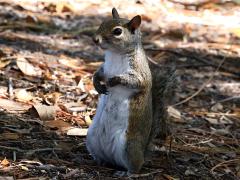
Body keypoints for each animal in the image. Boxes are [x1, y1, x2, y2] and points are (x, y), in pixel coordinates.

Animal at [86, 7, 174, 174]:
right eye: (102, 23)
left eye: (117, 31)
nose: (95, 39)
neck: (115, 54)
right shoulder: (105, 67)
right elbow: (98, 74)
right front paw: (97, 84)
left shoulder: (139, 71)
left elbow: (137, 81)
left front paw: (114, 80)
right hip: (91, 138)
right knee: (103, 157)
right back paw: (98, 161)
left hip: (129, 146)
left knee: (136, 166)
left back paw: (126, 173)